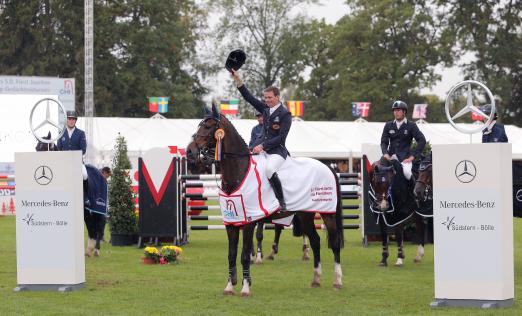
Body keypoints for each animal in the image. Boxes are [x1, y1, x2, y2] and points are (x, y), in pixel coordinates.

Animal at [189, 104, 344, 296]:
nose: (189, 151)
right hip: (305, 214)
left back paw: (337, 281)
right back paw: (316, 279)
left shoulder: (249, 221)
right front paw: (229, 286)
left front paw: (245, 287)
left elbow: (244, 254)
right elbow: (231, 255)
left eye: (209, 126)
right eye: (199, 125)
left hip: (327, 214)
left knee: (335, 243)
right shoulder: (231, 222)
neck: (239, 171)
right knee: (315, 241)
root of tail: (328, 167)